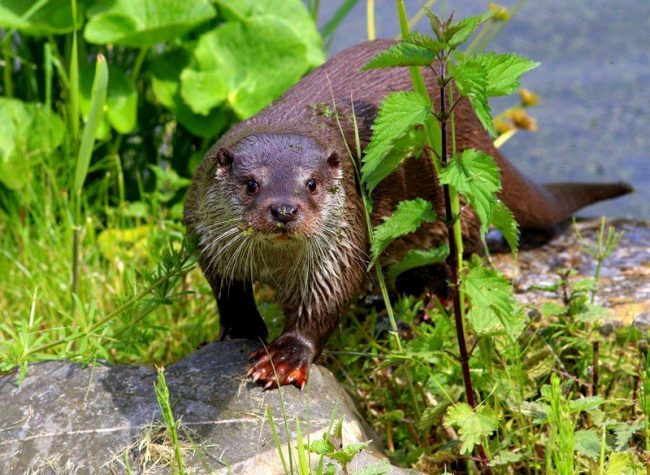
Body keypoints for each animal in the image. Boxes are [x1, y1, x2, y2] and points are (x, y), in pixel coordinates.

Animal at [184, 40, 632, 389]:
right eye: (251, 184)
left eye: (310, 183)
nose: (283, 209)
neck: (275, 264)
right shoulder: (207, 240)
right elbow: (228, 292)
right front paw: (241, 330)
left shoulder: (343, 244)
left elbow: (327, 301)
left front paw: (285, 358)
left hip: (457, 198)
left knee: (461, 253)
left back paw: (435, 299)